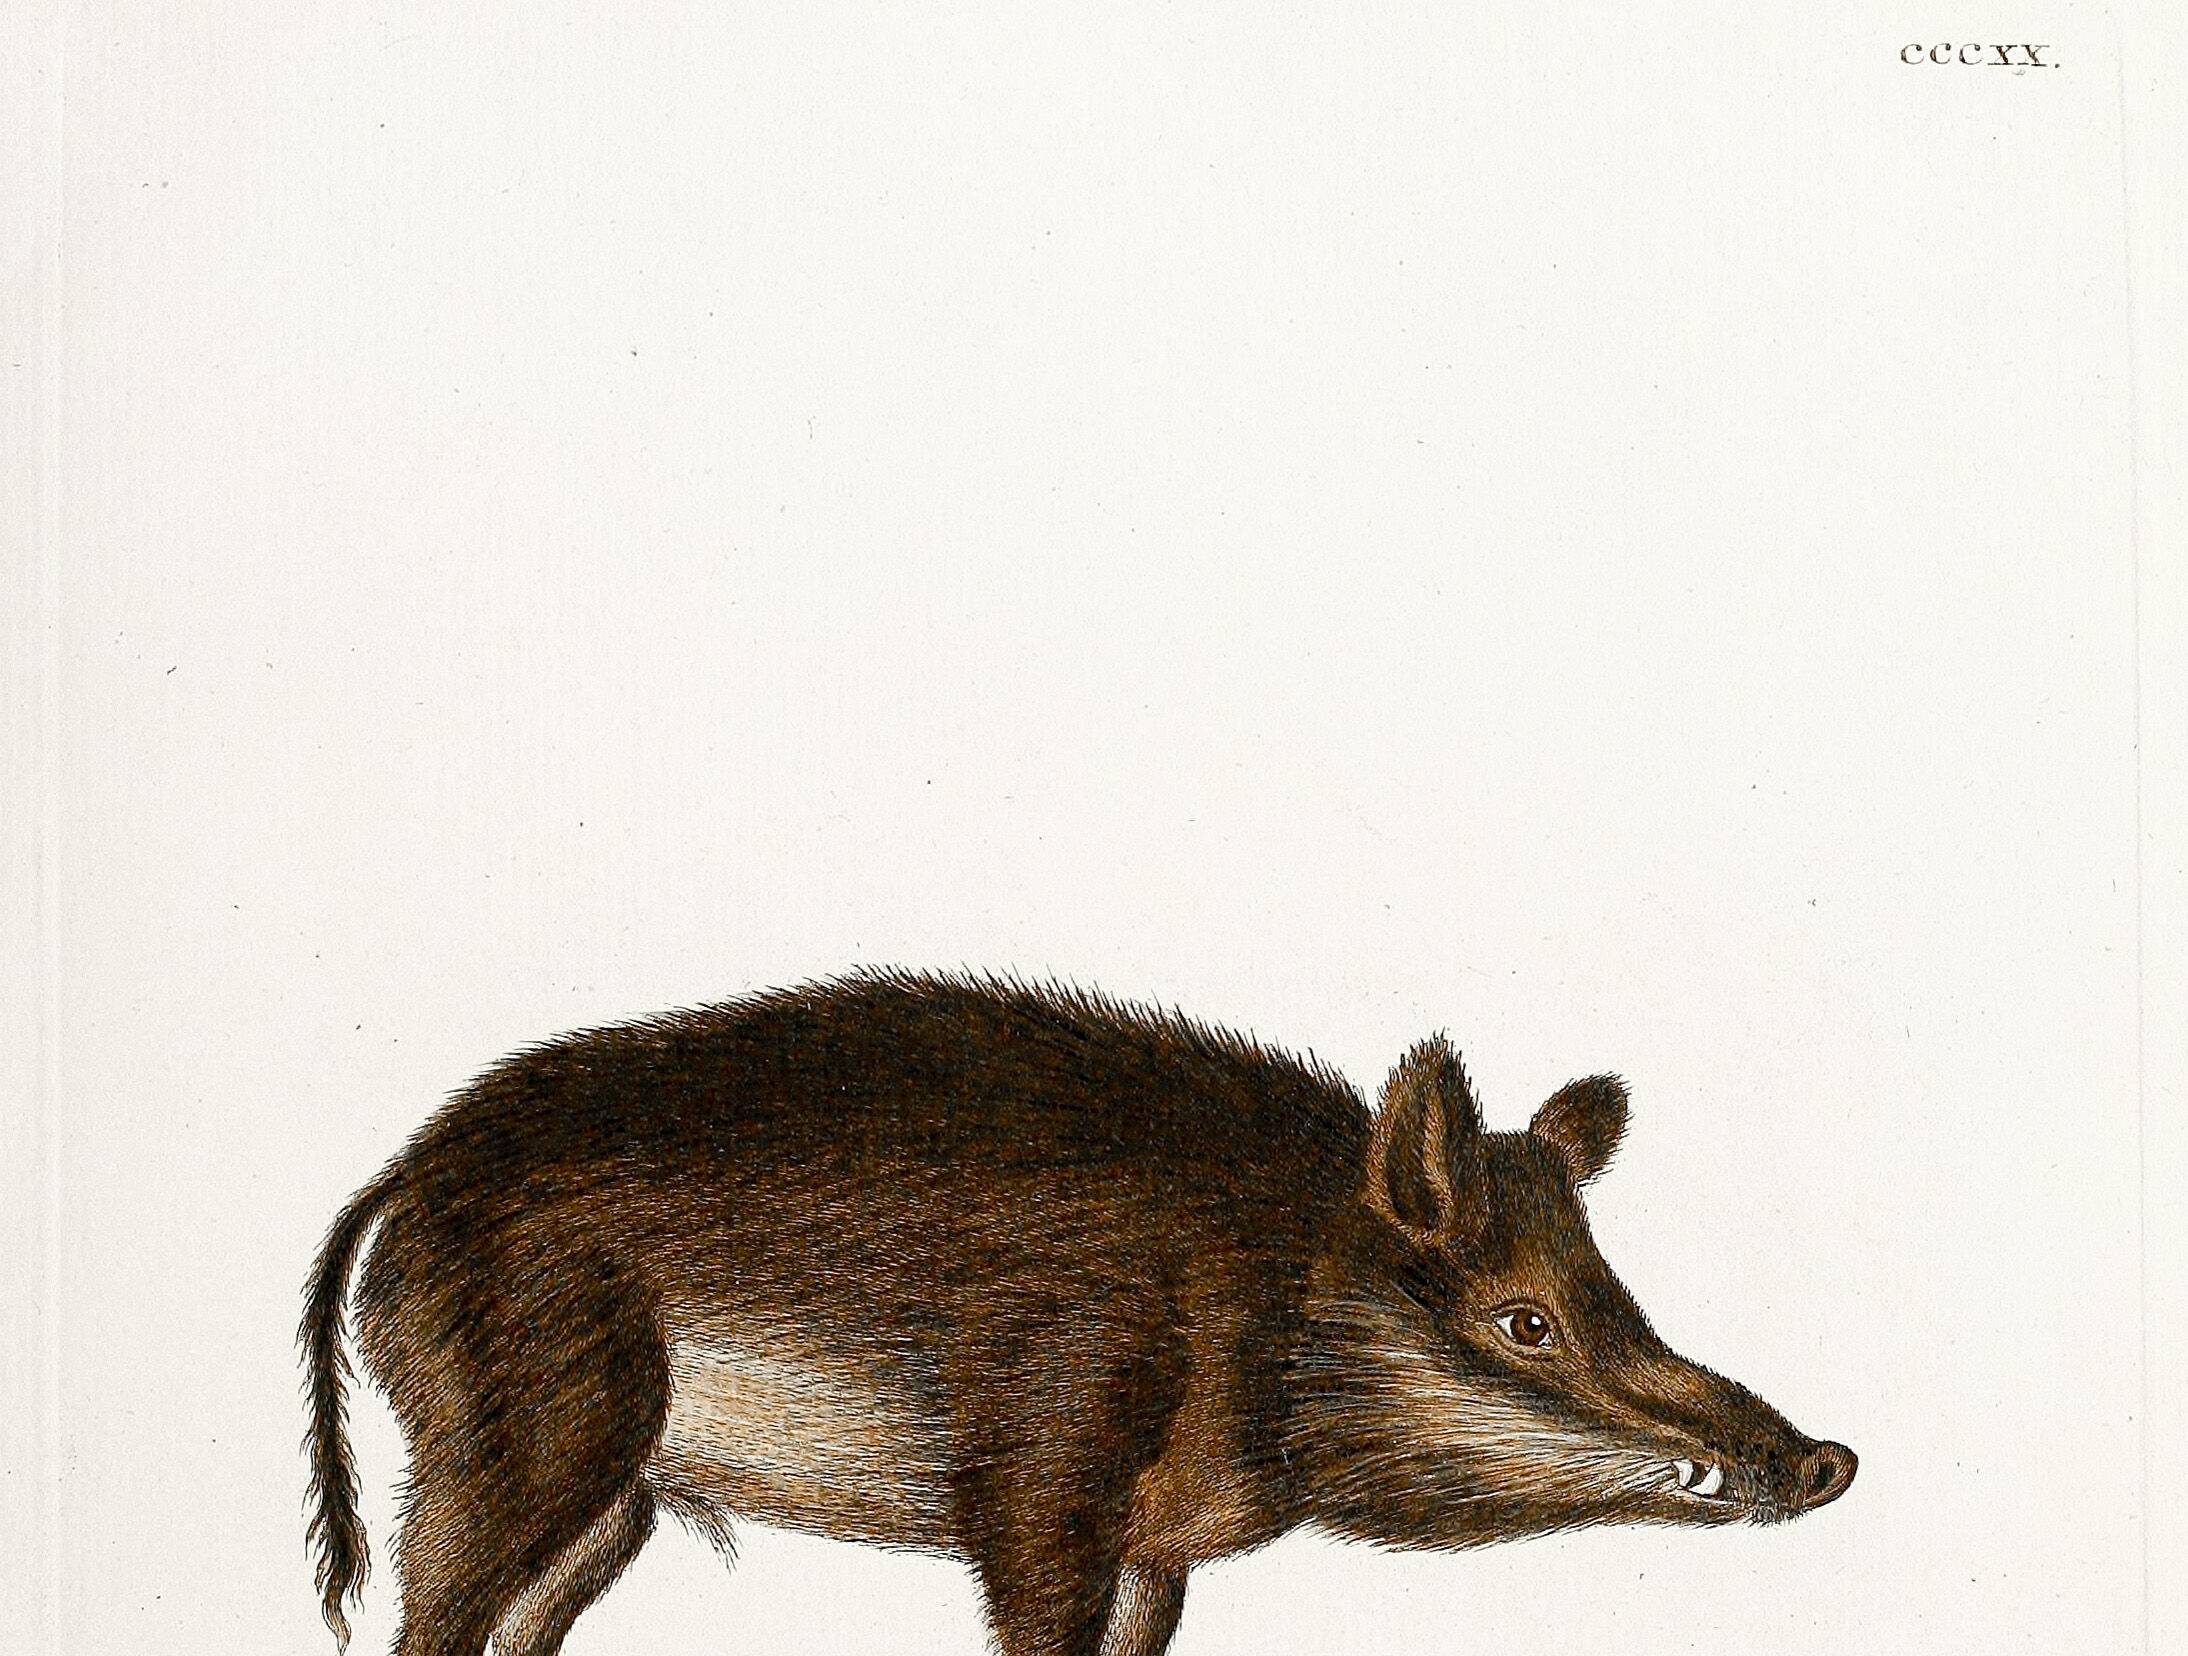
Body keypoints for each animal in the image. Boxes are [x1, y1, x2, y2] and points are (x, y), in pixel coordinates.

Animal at [301, 971, 1855, 1656]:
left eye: (1614, 1291)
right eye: (1526, 1321)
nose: (1828, 1459)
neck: (1271, 1292)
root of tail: (397, 1183)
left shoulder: (1158, 1550)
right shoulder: (1039, 1483)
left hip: (612, 1497)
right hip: (512, 1432)